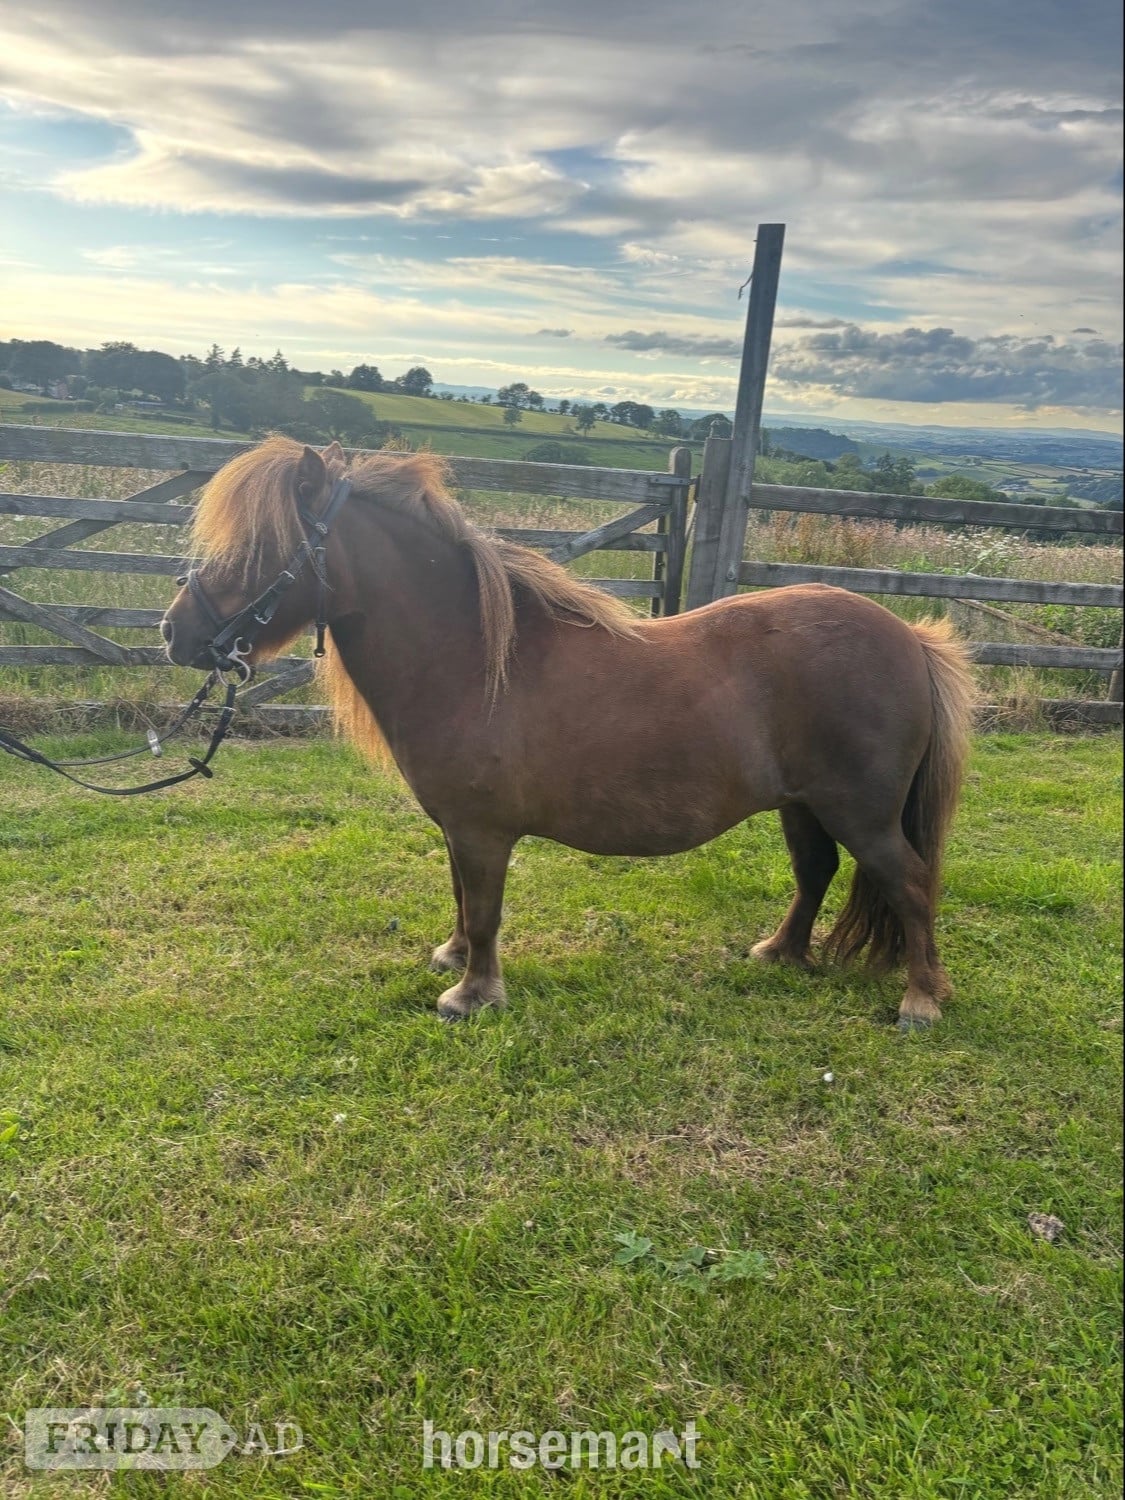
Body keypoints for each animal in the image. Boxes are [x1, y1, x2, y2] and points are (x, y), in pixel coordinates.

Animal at [161, 437, 974, 1030]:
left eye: (256, 551)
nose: (175, 633)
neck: (471, 658)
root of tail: (909, 638)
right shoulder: (458, 828)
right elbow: (462, 900)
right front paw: (451, 957)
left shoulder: (483, 831)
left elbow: (485, 909)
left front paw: (472, 997)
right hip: (804, 805)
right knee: (816, 874)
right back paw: (778, 953)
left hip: (860, 812)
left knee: (907, 882)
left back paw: (920, 1000)